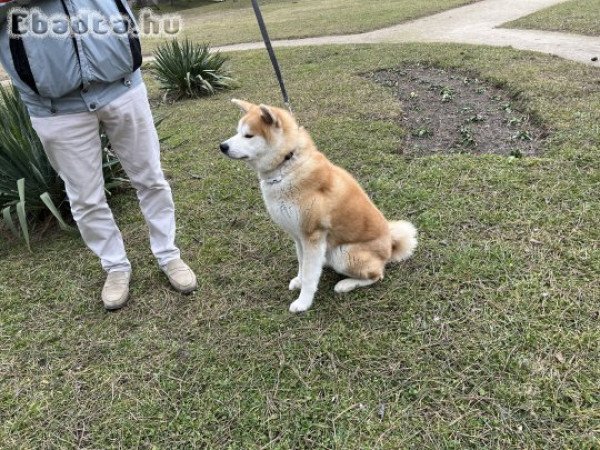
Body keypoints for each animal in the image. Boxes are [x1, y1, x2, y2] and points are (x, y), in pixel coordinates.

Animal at [220, 100, 418, 312]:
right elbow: (302, 264)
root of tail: (390, 246)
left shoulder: (312, 236)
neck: (287, 165)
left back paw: (346, 284)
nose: (222, 146)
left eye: (248, 135)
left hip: (344, 254)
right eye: (237, 132)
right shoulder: (298, 236)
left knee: (377, 275)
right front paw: (298, 280)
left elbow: (309, 275)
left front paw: (303, 302)